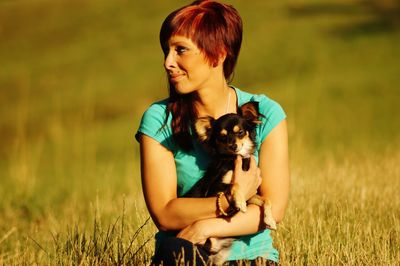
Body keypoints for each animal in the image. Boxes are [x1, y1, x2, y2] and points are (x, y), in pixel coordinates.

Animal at [184, 101, 276, 264]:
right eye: (222, 137)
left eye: (240, 132)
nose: (233, 146)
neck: (234, 159)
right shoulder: (214, 189)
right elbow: (235, 184)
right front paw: (239, 202)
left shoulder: (250, 194)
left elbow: (266, 199)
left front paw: (269, 220)